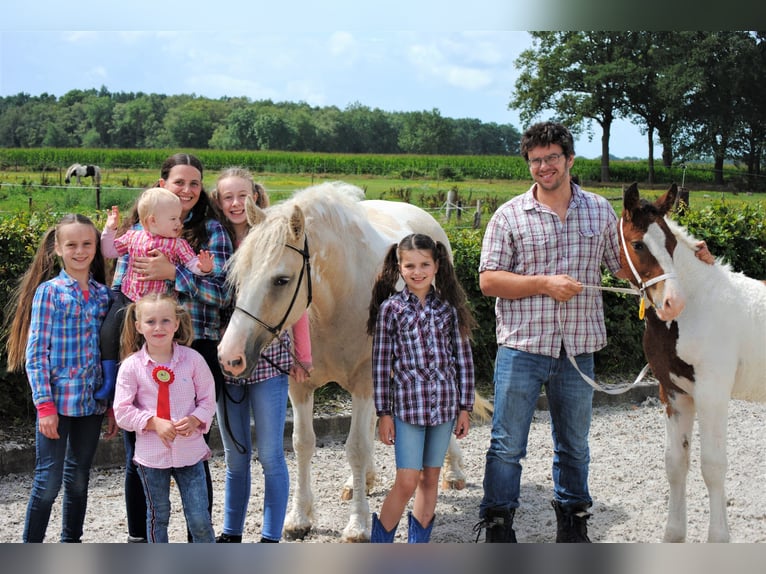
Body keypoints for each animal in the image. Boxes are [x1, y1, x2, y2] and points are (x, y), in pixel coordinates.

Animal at [217, 181, 490, 542]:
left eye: (281, 280)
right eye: (238, 275)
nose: (229, 357)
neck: (334, 301)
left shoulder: (364, 381)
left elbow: (356, 447)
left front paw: (359, 524)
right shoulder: (300, 386)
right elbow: (303, 443)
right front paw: (299, 517)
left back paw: (453, 471)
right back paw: (365, 480)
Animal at [615, 182, 766, 542]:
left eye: (671, 244)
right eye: (638, 244)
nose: (673, 302)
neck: (698, 307)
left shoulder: (712, 394)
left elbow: (712, 465)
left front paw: (719, 538)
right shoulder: (674, 394)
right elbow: (675, 462)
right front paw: (674, 534)